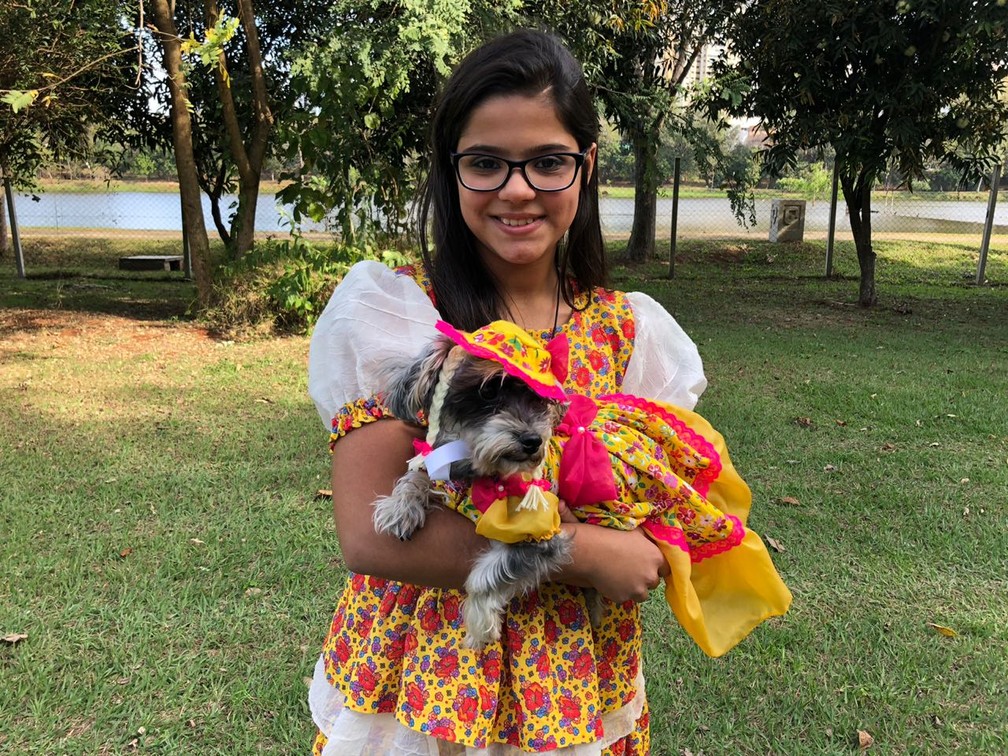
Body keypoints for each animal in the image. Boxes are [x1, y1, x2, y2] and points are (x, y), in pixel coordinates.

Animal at [372, 332, 576, 653]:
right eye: (488, 392)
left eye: (538, 400)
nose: (533, 441)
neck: (479, 473)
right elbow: (419, 474)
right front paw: (400, 508)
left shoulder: (543, 538)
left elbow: (484, 578)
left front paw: (481, 626)